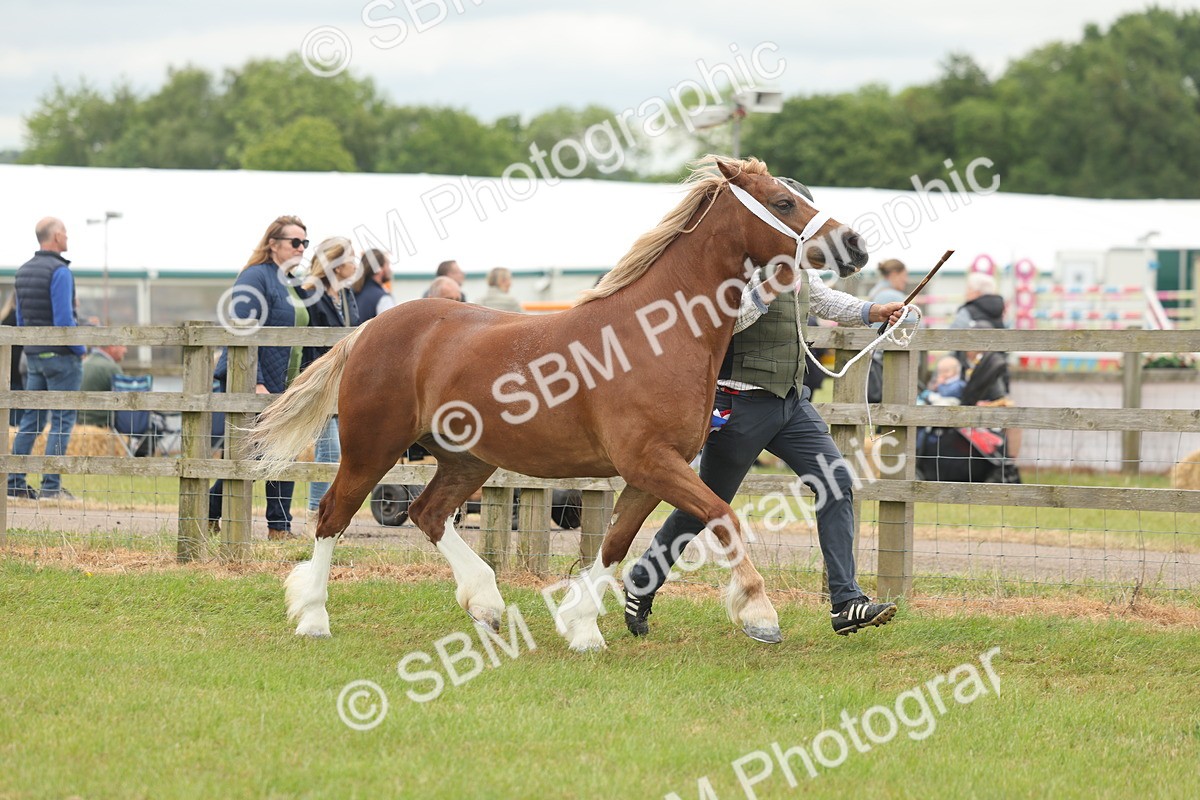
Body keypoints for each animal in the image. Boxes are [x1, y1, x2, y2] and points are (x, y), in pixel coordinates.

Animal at [246, 156, 868, 651]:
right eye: (784, 201)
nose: (856, 244)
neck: (656, 334)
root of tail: (371, 328)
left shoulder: (649, 472)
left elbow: (615, 545)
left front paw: (582, 626)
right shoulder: (652, 462)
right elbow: (723, 516)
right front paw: (760, 614)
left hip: (467, 459)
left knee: (428, 514)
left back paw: (486, 603)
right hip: (372, 447)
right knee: (334, 515)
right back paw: (314, 618)